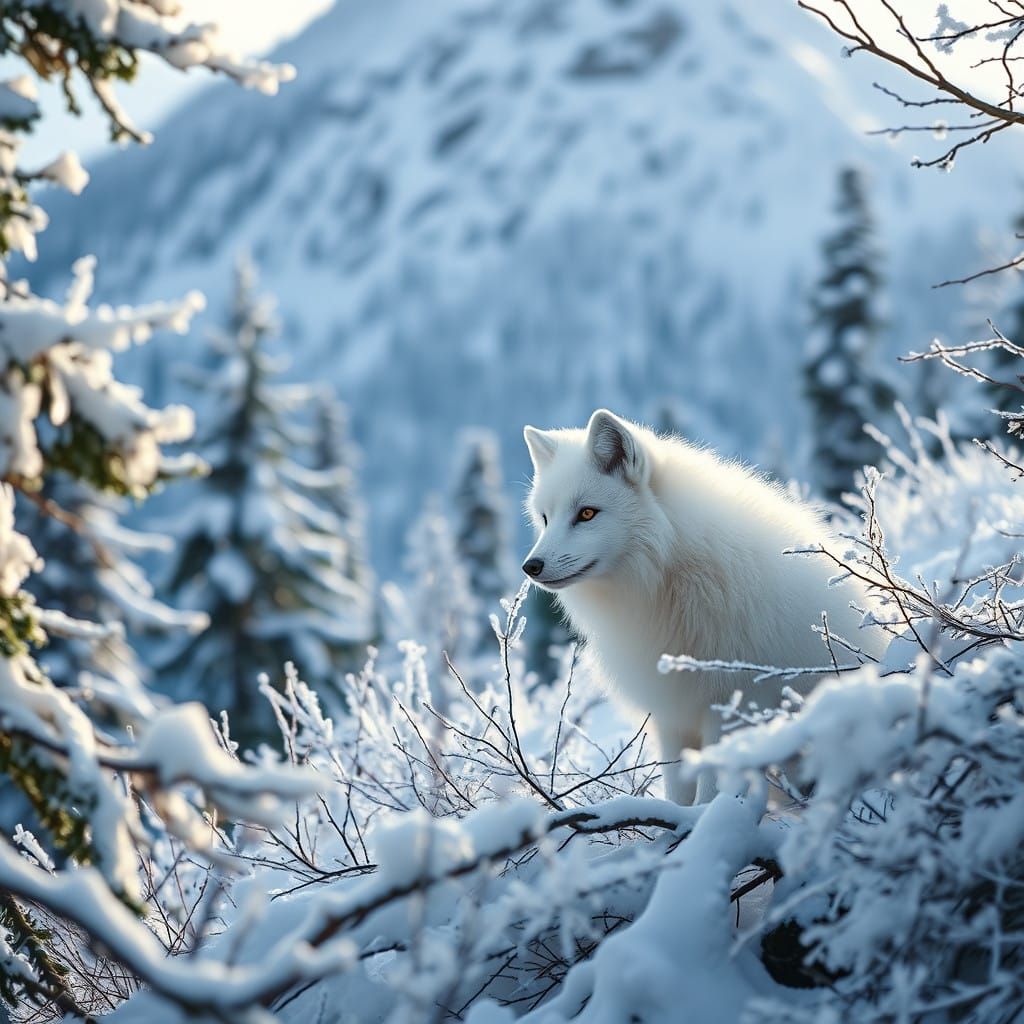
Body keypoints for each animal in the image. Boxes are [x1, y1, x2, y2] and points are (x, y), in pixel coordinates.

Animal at [522, 409, 884, 805]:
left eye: (587, 514)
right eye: (544, 518)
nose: (531, 566)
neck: (667, 580)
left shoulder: (728, 704)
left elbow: (709, 792)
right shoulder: (672, 715)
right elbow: (677, 792)